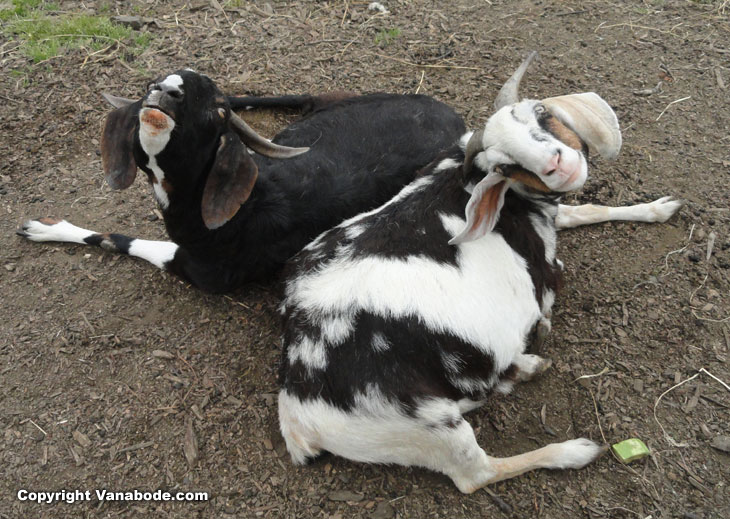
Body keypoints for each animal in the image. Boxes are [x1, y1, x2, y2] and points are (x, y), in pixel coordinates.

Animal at [17, 70, 465, 293]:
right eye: (151, 85)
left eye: (213, 114)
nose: (164, 91)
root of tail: (455, 118)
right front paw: (43, 226)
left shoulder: (202, 271)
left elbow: (122, 240)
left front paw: (42, 229)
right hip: (337, 99)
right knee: (299, 96)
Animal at [278, 52, 682, 493]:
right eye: (504, 166)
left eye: (540, 113)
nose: (557, 166)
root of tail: (295, 411)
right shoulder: (546, 274)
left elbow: (588, 210)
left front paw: (658, 208)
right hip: (428, 426)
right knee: (476, 474)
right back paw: (571, 450)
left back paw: (525, 369)